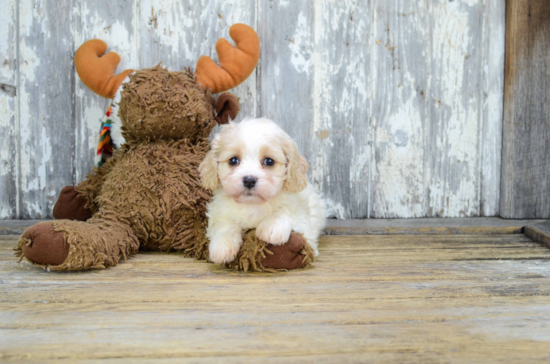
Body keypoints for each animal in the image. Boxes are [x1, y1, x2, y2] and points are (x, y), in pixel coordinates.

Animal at [199, 118, 326, 264]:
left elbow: (287, 210)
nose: (249, 180)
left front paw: (272, 228)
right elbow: (224, 224)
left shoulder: (303, 218)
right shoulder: (218, 212)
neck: (252, 204)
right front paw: (222, 247)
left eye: (269, 161)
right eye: (233, 160)